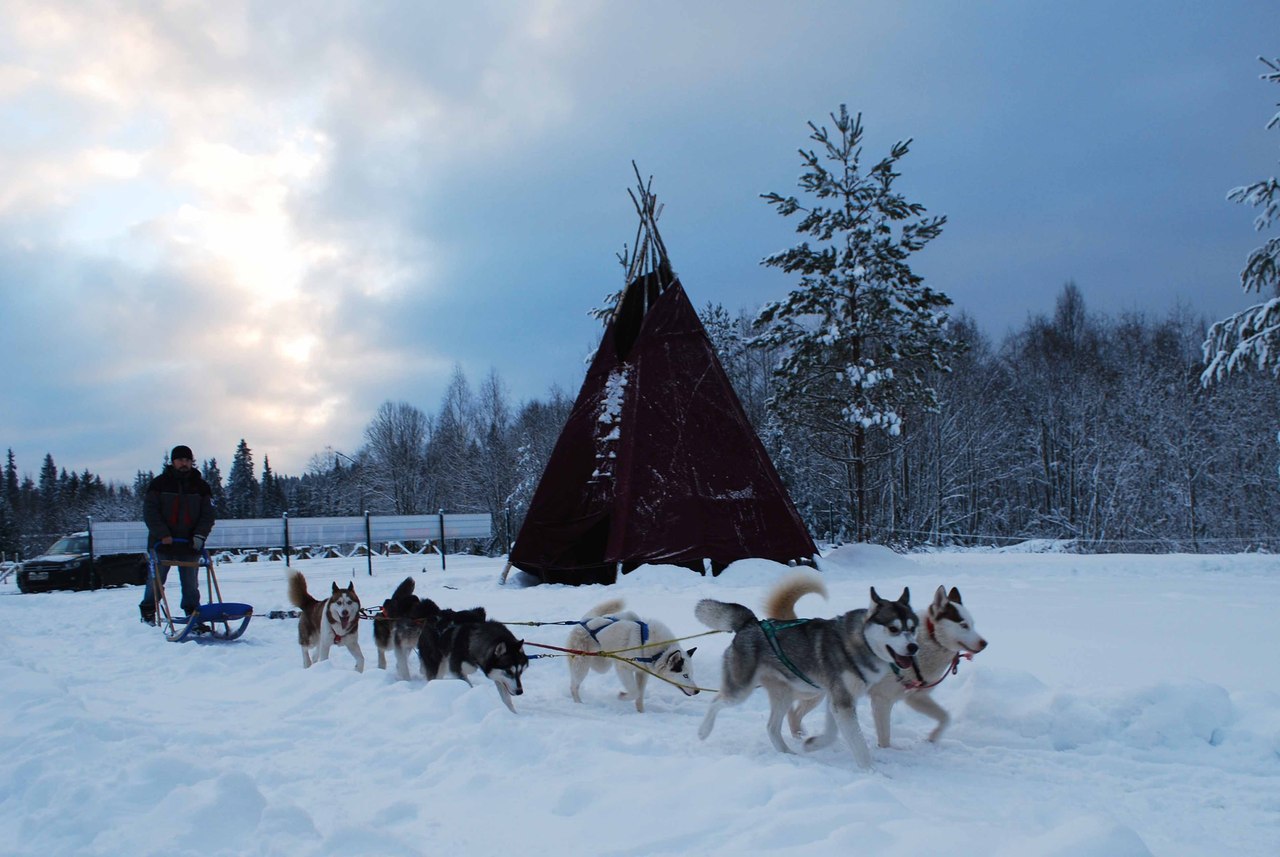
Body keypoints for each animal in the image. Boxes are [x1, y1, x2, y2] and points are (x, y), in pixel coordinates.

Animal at [568, 601, 701, 716]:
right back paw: (578, 703)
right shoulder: (623, 668)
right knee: (574, 686)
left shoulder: (642, 673)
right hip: (583, 666)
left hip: (602, 664)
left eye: (692, 674)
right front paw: (622, 696)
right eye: (685, 675)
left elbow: (639, 695)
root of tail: (584, 621)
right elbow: (634, 692)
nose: (697, 691)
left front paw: (641, 713)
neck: (658, 650)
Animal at [696, 588, 916, 767]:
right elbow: (858, 743)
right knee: (716, 701)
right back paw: (703, 731)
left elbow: (833, 733)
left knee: (771, 727)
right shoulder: (842, 701)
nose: (914, 647)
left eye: (913, 628)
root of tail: (751, 623)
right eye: (893, 628)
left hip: (785, 694)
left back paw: (787, 754)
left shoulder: (838, 699)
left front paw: (812, 744)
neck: (859, 641)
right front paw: (871, 771)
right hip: (741, 690)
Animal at [768, 580, 988, 746]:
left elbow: (945, 717)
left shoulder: (915, 698)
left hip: (816, 693)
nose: (984, 643)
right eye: (963, 625)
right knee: (792, 711)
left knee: (794, 713)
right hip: (813, 691)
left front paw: (933, 738)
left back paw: (799, 736)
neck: (926, 643)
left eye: (973, 624)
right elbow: (885, 737)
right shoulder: (882, 700)